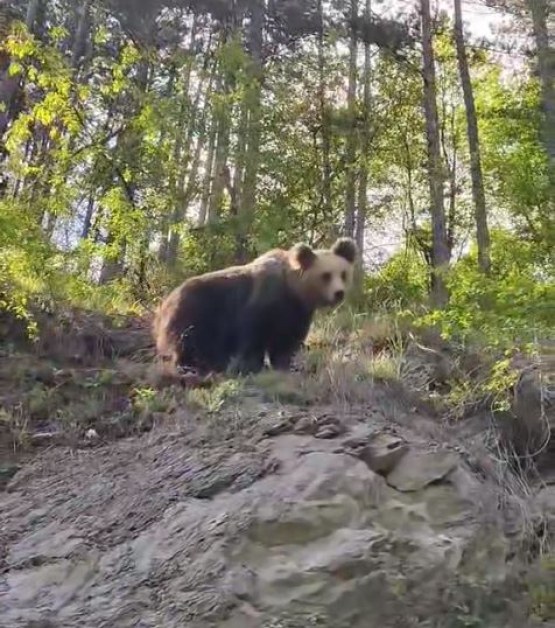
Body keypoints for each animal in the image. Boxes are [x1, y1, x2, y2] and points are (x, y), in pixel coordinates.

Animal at [154, 236, 358, 372]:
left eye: (343, 274)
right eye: (326, 275)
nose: (339, 293)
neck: (293, 291)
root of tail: (167, 300)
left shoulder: (298, 313)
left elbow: (286, 341)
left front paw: (283, 364)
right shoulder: (262, 302)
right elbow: (253, 335)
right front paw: (253, 365)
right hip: (196, 311)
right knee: (188, 340)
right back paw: (192, 364)